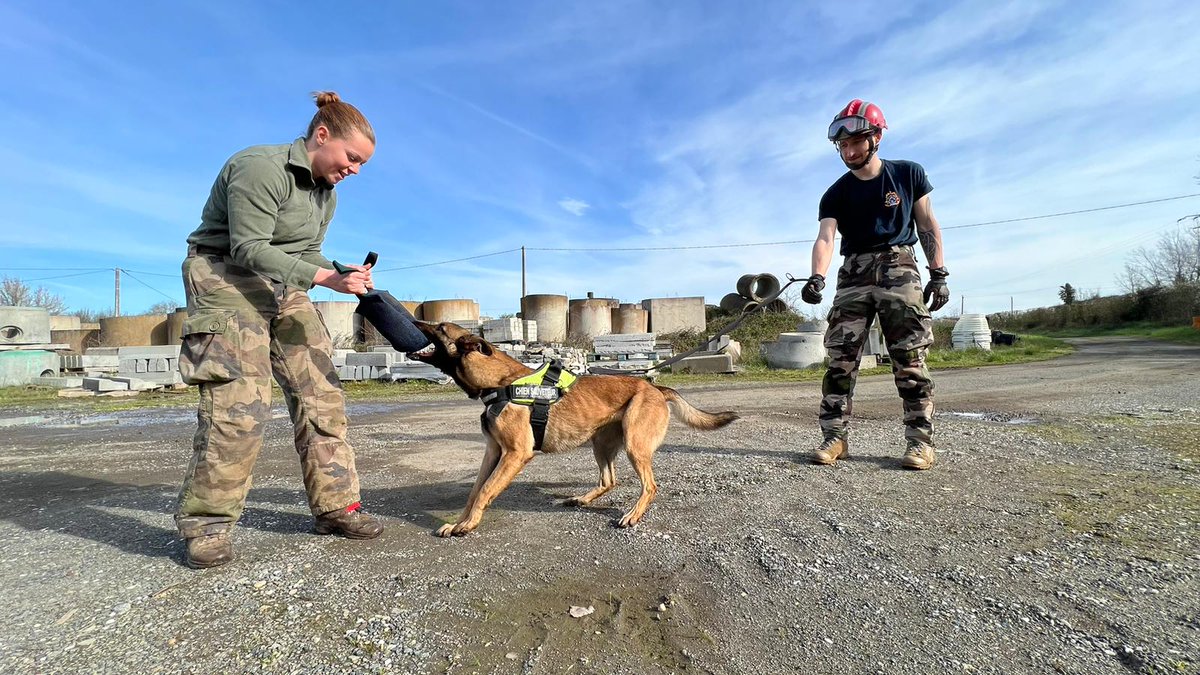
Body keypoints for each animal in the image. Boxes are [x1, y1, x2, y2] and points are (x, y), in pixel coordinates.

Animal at [408, 319, 734, 535]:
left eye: (440, 327)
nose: (413, 320)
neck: (500, 384)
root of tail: (655, 388)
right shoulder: (492, 452)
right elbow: (475, 490)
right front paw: (460, 521)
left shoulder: (514, 454)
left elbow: (486, 490)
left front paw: (469, 524)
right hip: (600, 444)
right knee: (608, 480)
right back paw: (580, 499)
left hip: (634, 445)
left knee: (650, 486)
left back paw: (632, 515)